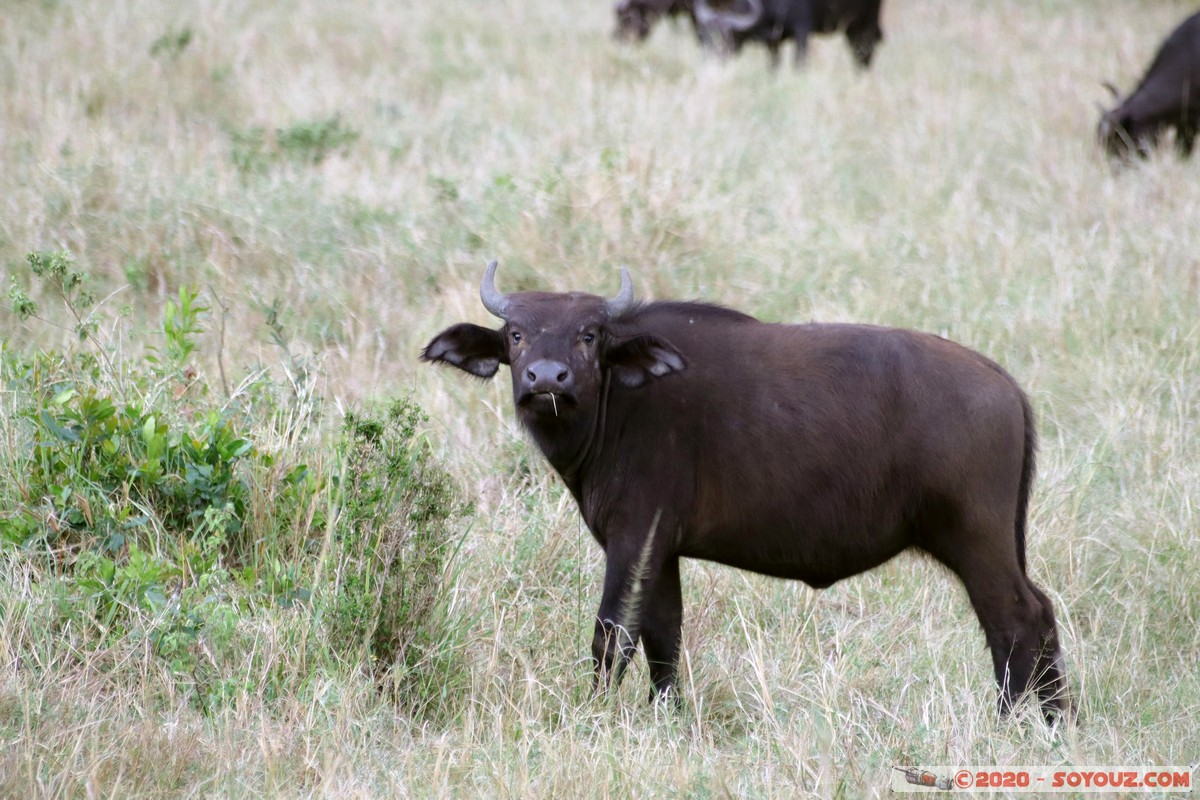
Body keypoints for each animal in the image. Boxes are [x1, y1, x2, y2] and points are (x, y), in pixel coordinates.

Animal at [422, 261, 1070, 719]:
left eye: (588, 334)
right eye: (515, 333)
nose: (546, 379)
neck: (621, 401)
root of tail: (1004, 385)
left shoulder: (634, 537)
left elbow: (613, 634)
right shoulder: (661, 549)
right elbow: (663, 634)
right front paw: (666, 715)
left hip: (975, 537)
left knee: (1016, 618)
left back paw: (1009, 721)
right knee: (1039, 613)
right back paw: (1055, 722)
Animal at [696, 0, 883, 68]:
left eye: (732, 34)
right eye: (708, 31)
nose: (718, 54)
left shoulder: (802, 31)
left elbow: (799, 64)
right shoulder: (772, 43)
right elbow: (773, 67)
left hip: (867, 23)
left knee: (864, 53)